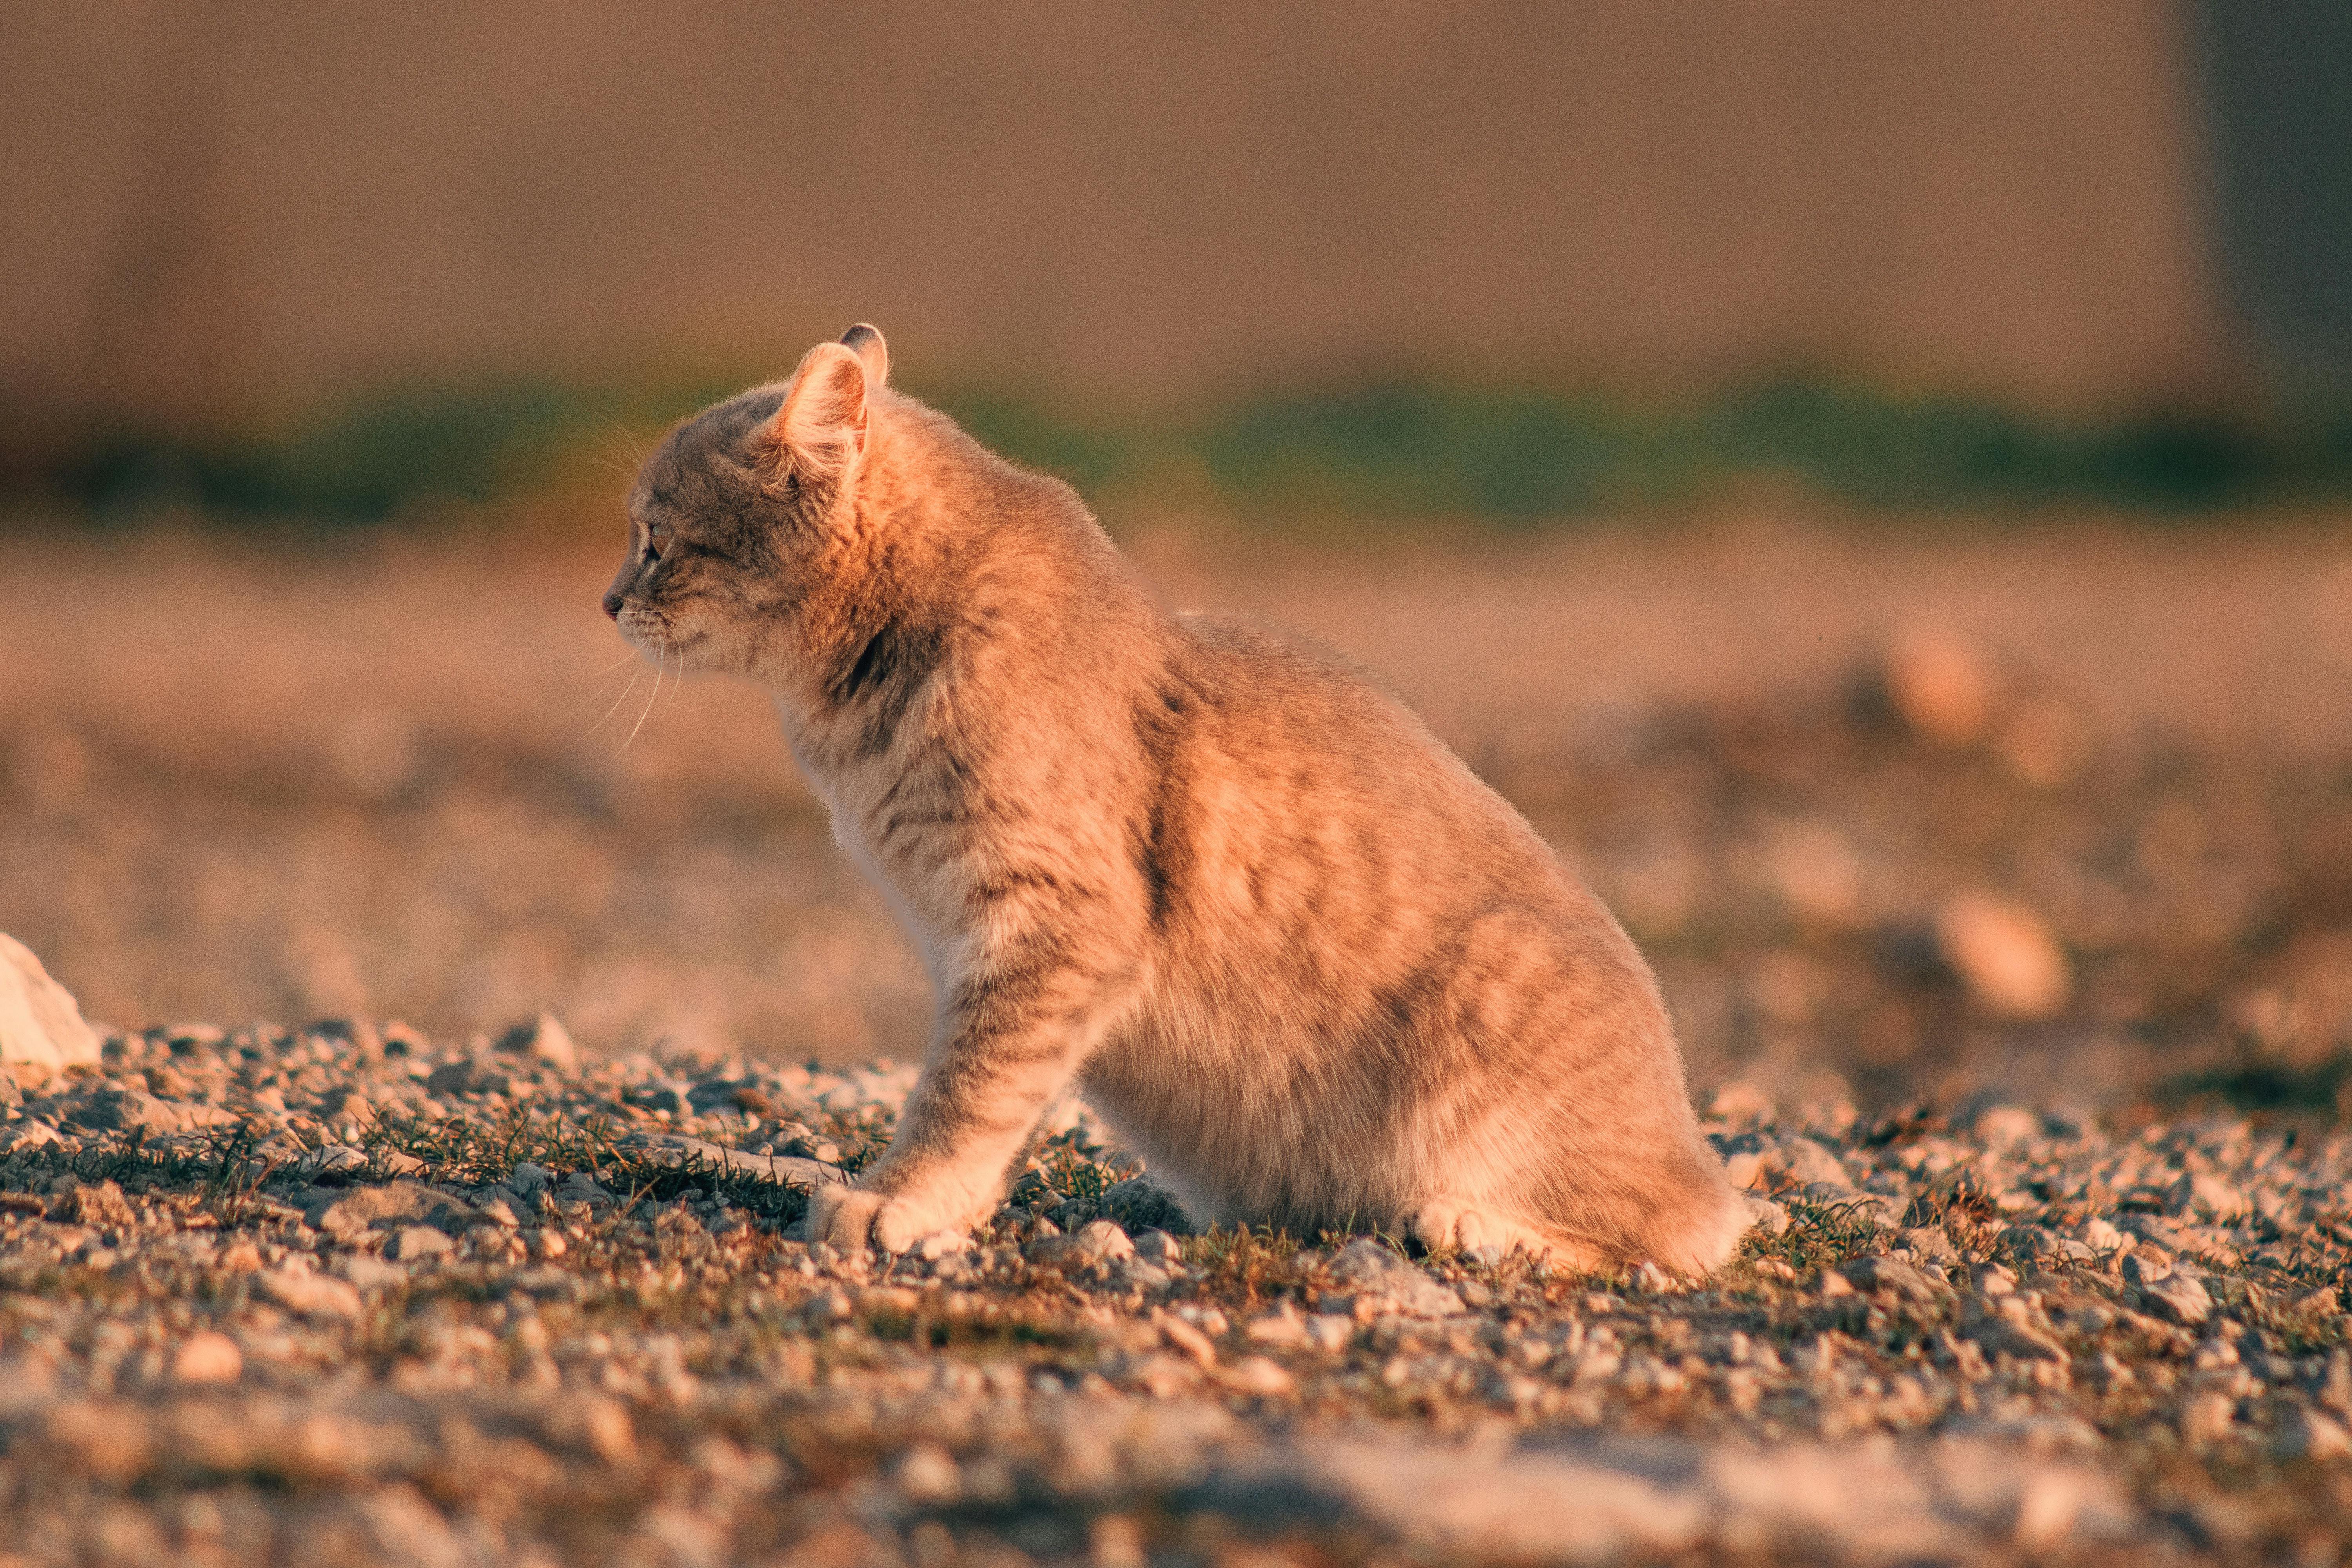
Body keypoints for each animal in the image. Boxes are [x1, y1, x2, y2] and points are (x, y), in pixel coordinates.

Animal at [607, 324, 1750, 1269]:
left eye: (656, 541)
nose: (611, 602)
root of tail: (1691, 1147)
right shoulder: (996, 947)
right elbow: (992, 1087)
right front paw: (939, 1204)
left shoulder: (1054, 923)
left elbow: (967, 1086)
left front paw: (900, 1198)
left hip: (1490, 1020)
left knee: (1677, 1236)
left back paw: (1473, 1224)